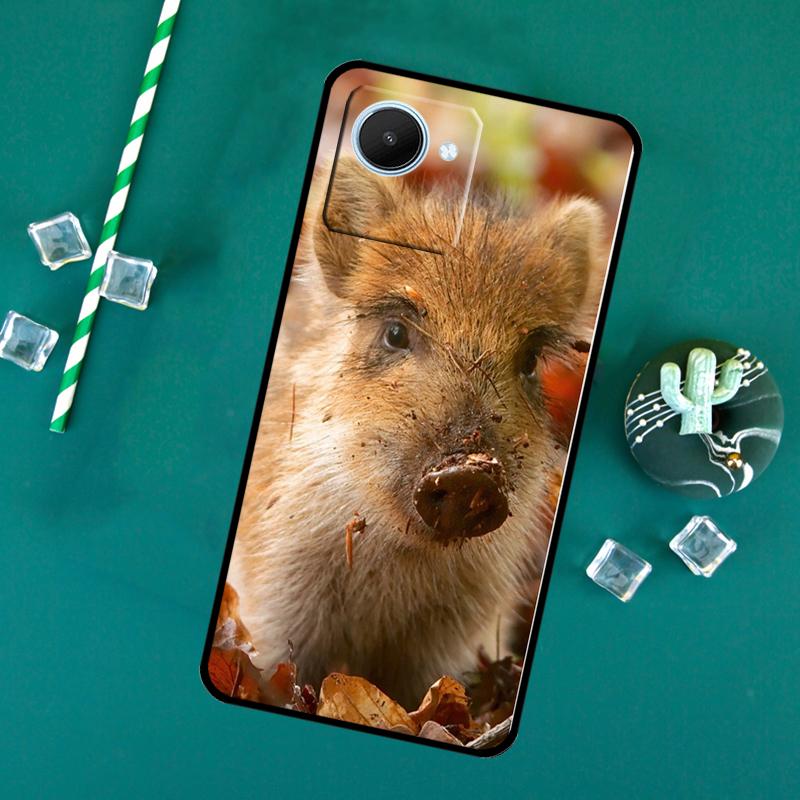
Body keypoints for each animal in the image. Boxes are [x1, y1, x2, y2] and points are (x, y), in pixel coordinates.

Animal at [230, 159, 605, 708]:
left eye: (530, 360)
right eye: (395, 332)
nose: (470, 475)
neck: (394, 567)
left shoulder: (454, 632)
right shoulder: (273, 590)